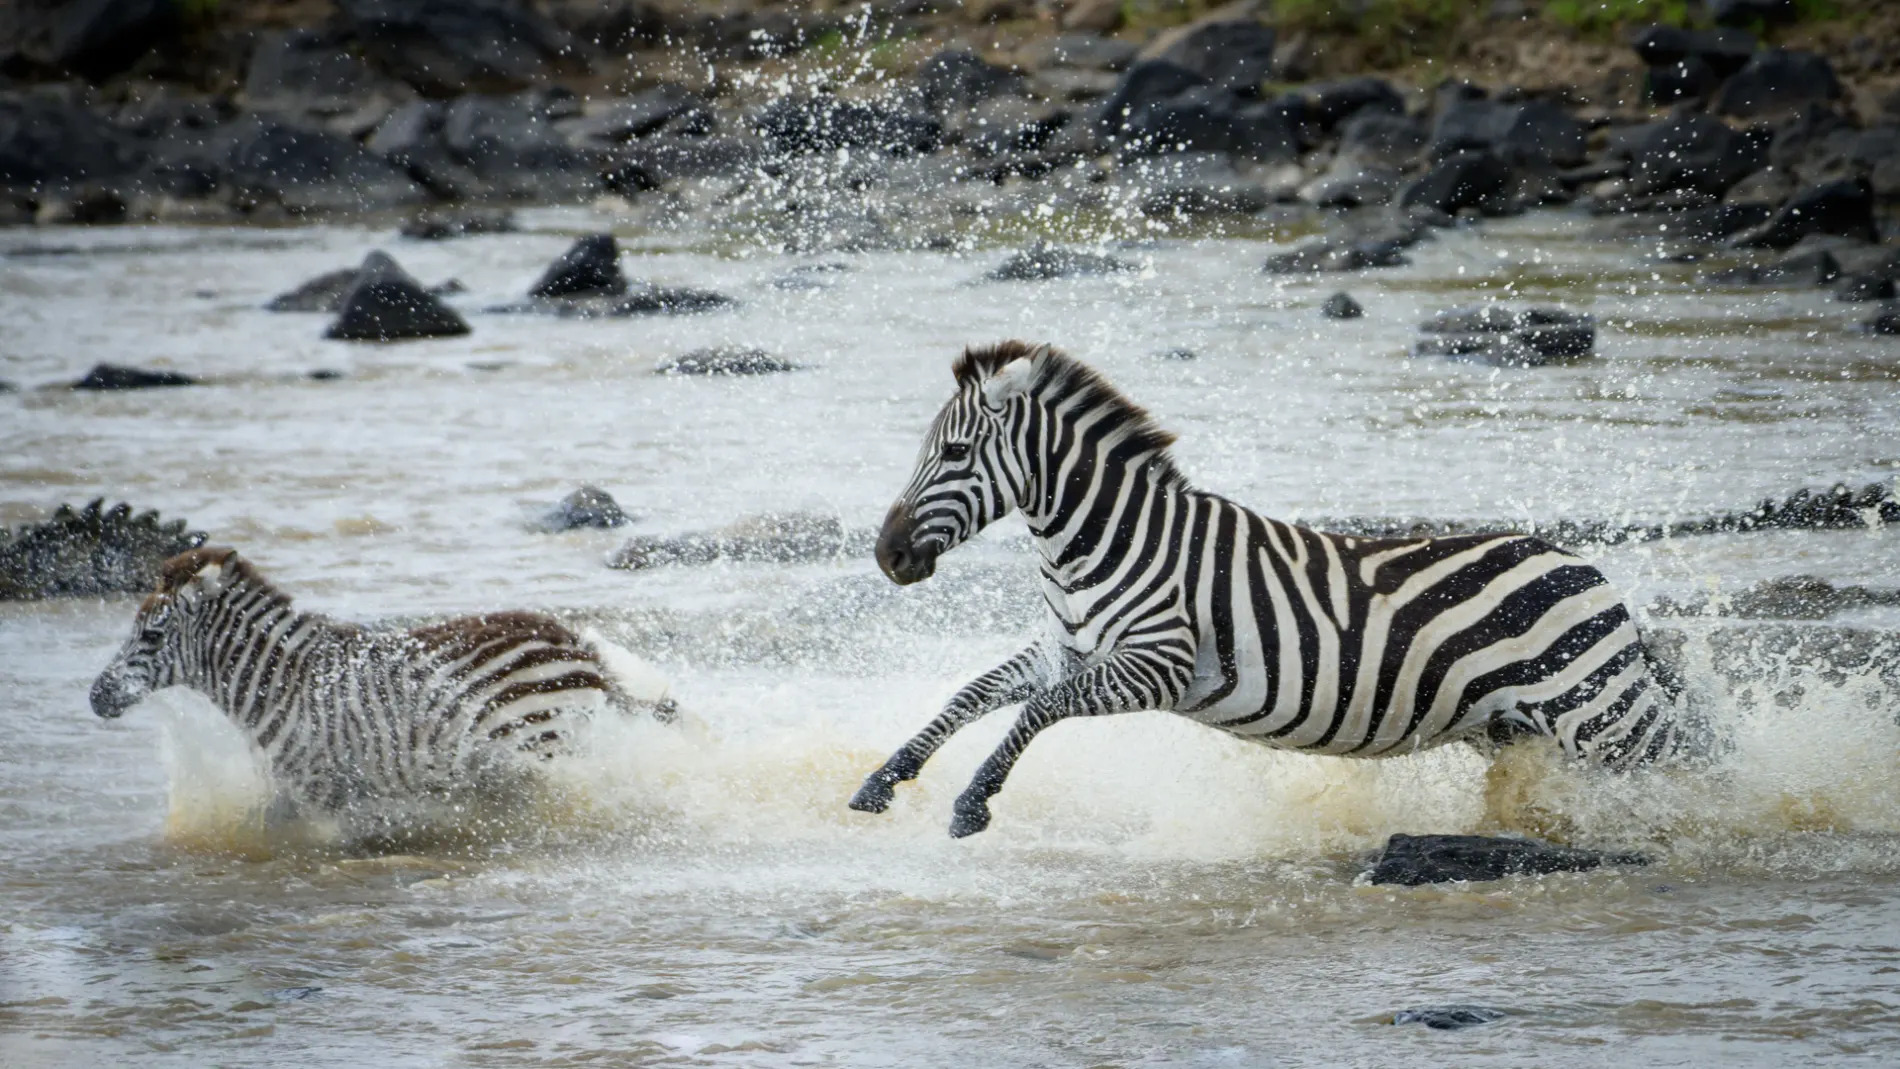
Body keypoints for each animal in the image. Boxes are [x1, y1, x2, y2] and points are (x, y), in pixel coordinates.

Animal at [96, 546, 680, 816]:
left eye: (151, 636)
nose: (96, 696)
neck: (282, 683)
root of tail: (573, 640)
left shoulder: (320, 789)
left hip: (543, 743)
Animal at [855, 343, 1687, 835]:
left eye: (955, 453)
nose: (887, 555)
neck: (1108, 541)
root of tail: (1582, 564)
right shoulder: (1068, 650)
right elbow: (972, 694)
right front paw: (883, 779)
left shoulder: (1155, 666)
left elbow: (1036, 710)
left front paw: (973, 800)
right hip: (1517, 724)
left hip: (1601, 712)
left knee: (1687, 757)